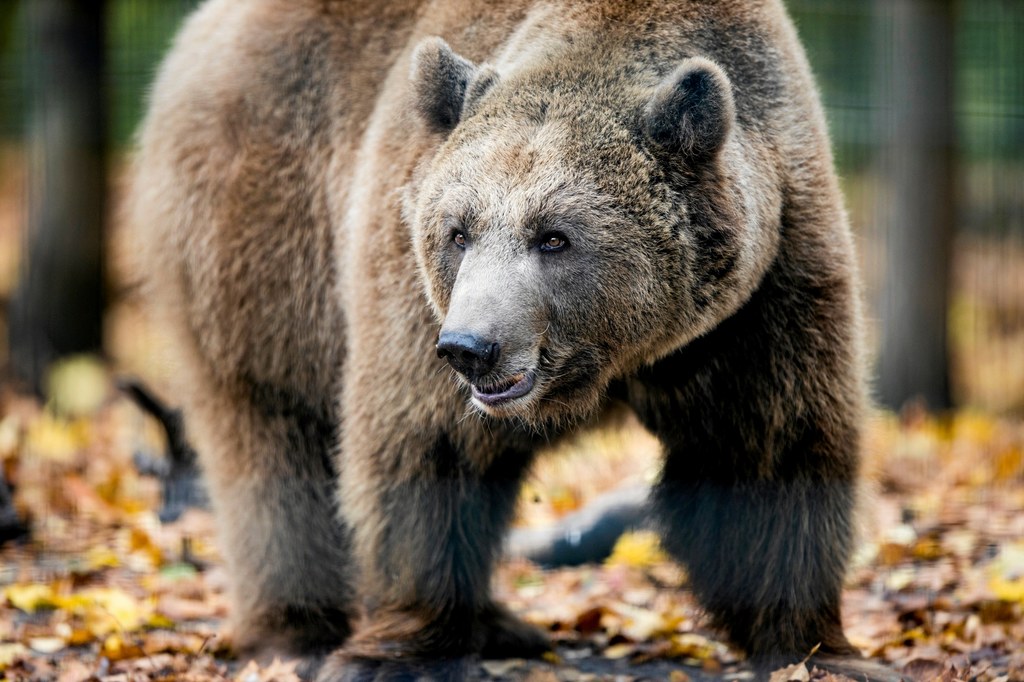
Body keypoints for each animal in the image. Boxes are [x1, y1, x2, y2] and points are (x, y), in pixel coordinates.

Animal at [128, 0, 864, 675]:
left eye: (554, 236)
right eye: (458, 230)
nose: (470, 347)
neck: (618, 358)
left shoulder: (761, 291)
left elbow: (768, 449)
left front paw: (815, 646)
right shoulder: (408, 286)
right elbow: (429, 445)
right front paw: (398, 652)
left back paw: (503, 625)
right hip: (266, 241)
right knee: (273, 431)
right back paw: (298, 631)